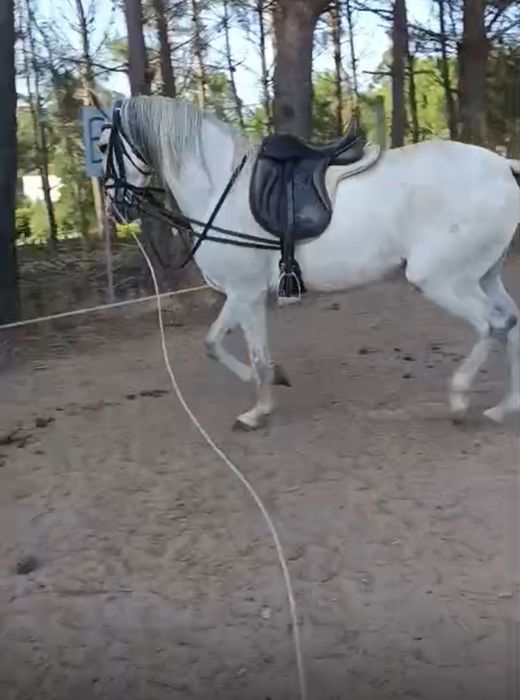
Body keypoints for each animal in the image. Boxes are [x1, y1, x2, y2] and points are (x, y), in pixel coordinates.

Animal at [99, 95, 520, 431]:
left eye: (104, 144)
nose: (114, 208)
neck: (221, 187)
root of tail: (502, 166)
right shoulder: (247, 295)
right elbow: (226, 346)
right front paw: (273, 382)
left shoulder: (245, 292)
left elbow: (241, 352)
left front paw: (257, 411)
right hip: (483, 275)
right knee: (511, 324)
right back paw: (504, 409)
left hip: (441, 279)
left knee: (490, 325)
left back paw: (460, 400)